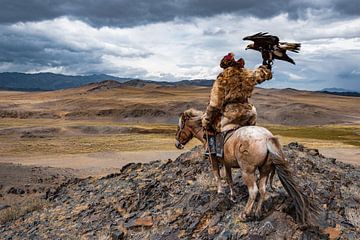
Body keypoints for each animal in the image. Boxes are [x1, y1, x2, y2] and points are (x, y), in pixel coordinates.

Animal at [176, 109, 316, 225]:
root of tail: (267, 137)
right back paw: (258, 213)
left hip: (247, 171)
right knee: (262, 189)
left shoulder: (213, 159)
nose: (177, 144)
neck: (207, 133)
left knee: (253, 191)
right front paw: (233, 195)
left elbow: (217, 176)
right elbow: (229, 179)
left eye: (180, 127)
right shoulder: (227, 163)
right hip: (265, 170)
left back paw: (244, 214)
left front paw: (220, 191)